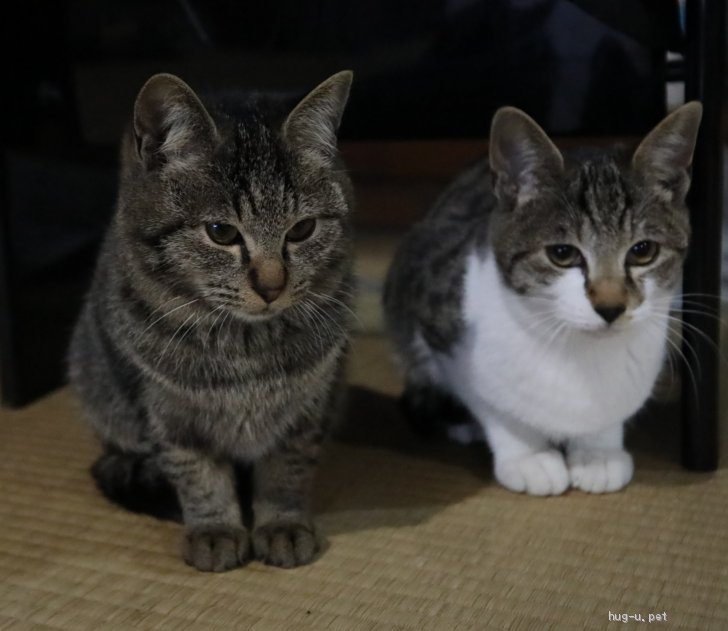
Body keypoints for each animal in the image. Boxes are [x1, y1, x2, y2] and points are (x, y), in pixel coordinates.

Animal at [68, 70, 356, 572]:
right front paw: (215, 530)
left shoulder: (307, 410)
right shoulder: (169, 415)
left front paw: (282, 525)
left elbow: (285, 472)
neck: (246, 352)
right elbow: (199, 476)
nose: (272, 286)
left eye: (302, 229)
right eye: (221, 232)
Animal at [384, 101, 704, 498]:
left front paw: (598, 452)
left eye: (643, 250)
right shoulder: (438, 316)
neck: (579, 351)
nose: (611, 307)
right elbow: (491, 402)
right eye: (562, 254)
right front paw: (529, 455)